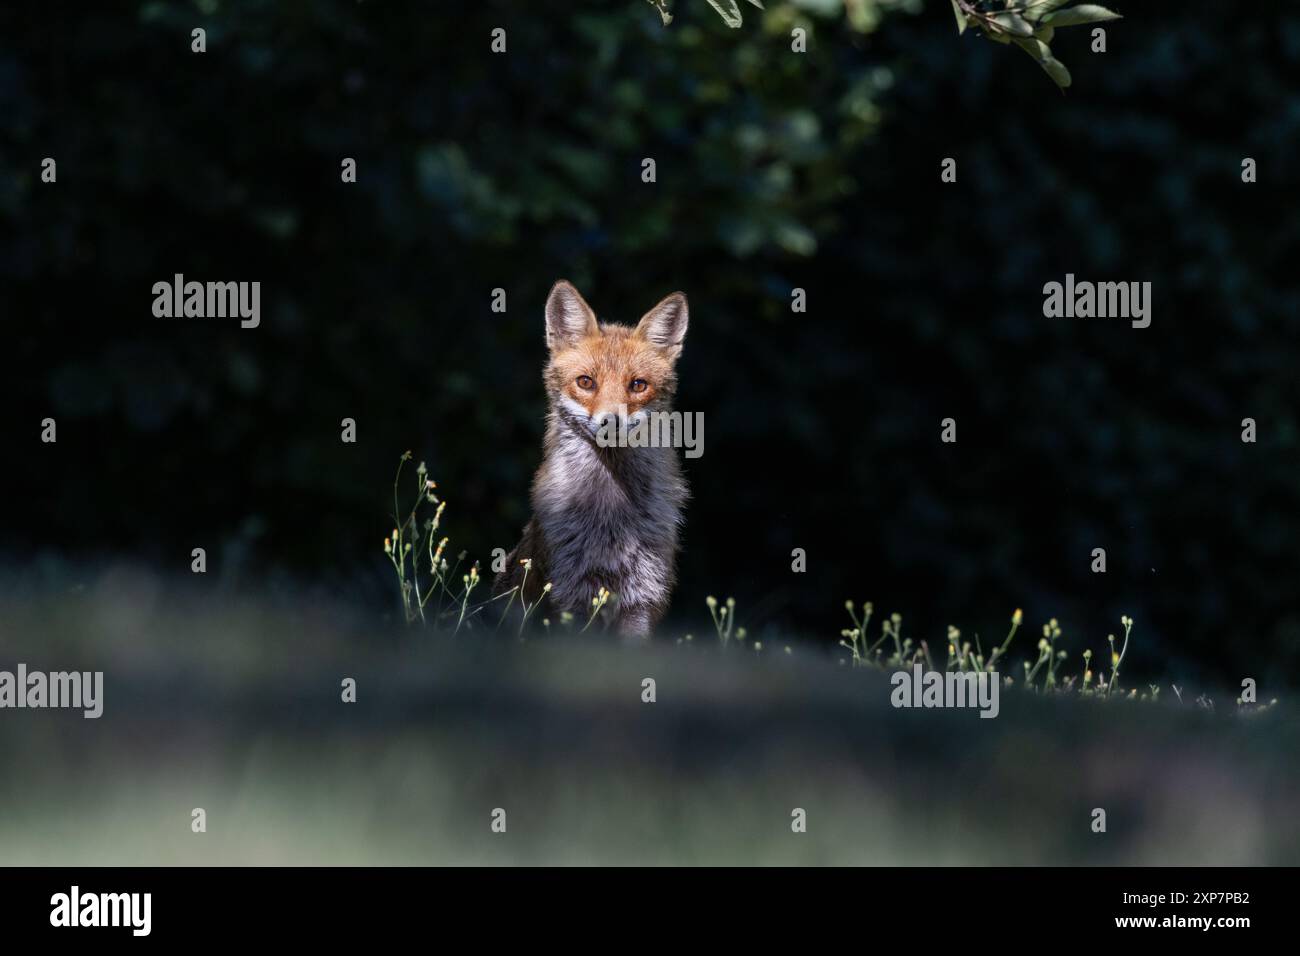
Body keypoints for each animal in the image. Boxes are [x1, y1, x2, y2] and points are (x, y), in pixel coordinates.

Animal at [491, 280, 686, 639]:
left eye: (638, 385)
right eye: (586, 382)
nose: (611, 421)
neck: (610, 515)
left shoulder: (642, 601)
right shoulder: (570, 599)